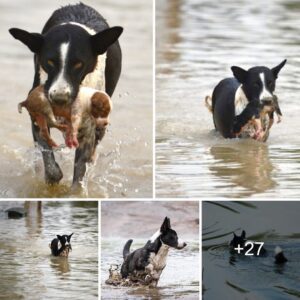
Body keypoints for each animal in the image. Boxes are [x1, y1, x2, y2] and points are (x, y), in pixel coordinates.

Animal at [8, 2, 122, 185]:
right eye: (49, 61)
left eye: (78, 64)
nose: (59, 99)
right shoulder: (37, 116)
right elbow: (49, 160)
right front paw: (52, 177)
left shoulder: (88, 129)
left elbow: (80, 172)